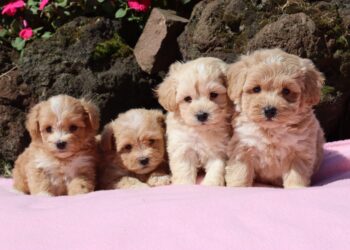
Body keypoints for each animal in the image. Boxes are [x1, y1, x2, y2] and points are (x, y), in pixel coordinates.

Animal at [156, 57, 232, 186]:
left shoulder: (219, 150)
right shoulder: (182, 148)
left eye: (214, 94)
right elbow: (184, 170)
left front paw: (211, 184)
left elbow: (216, 169)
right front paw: (184, 184)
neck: (200, 131)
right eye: (187, 99)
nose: (201, 115)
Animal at [224, 48, 326, 188]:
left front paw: (296, 188)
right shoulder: (242, 146)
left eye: (286, 91)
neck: (270, 131)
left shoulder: (299, 152)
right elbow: (240, 171)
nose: (269, 110)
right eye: (256, 89)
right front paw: (238, 187)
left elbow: (296, 176)